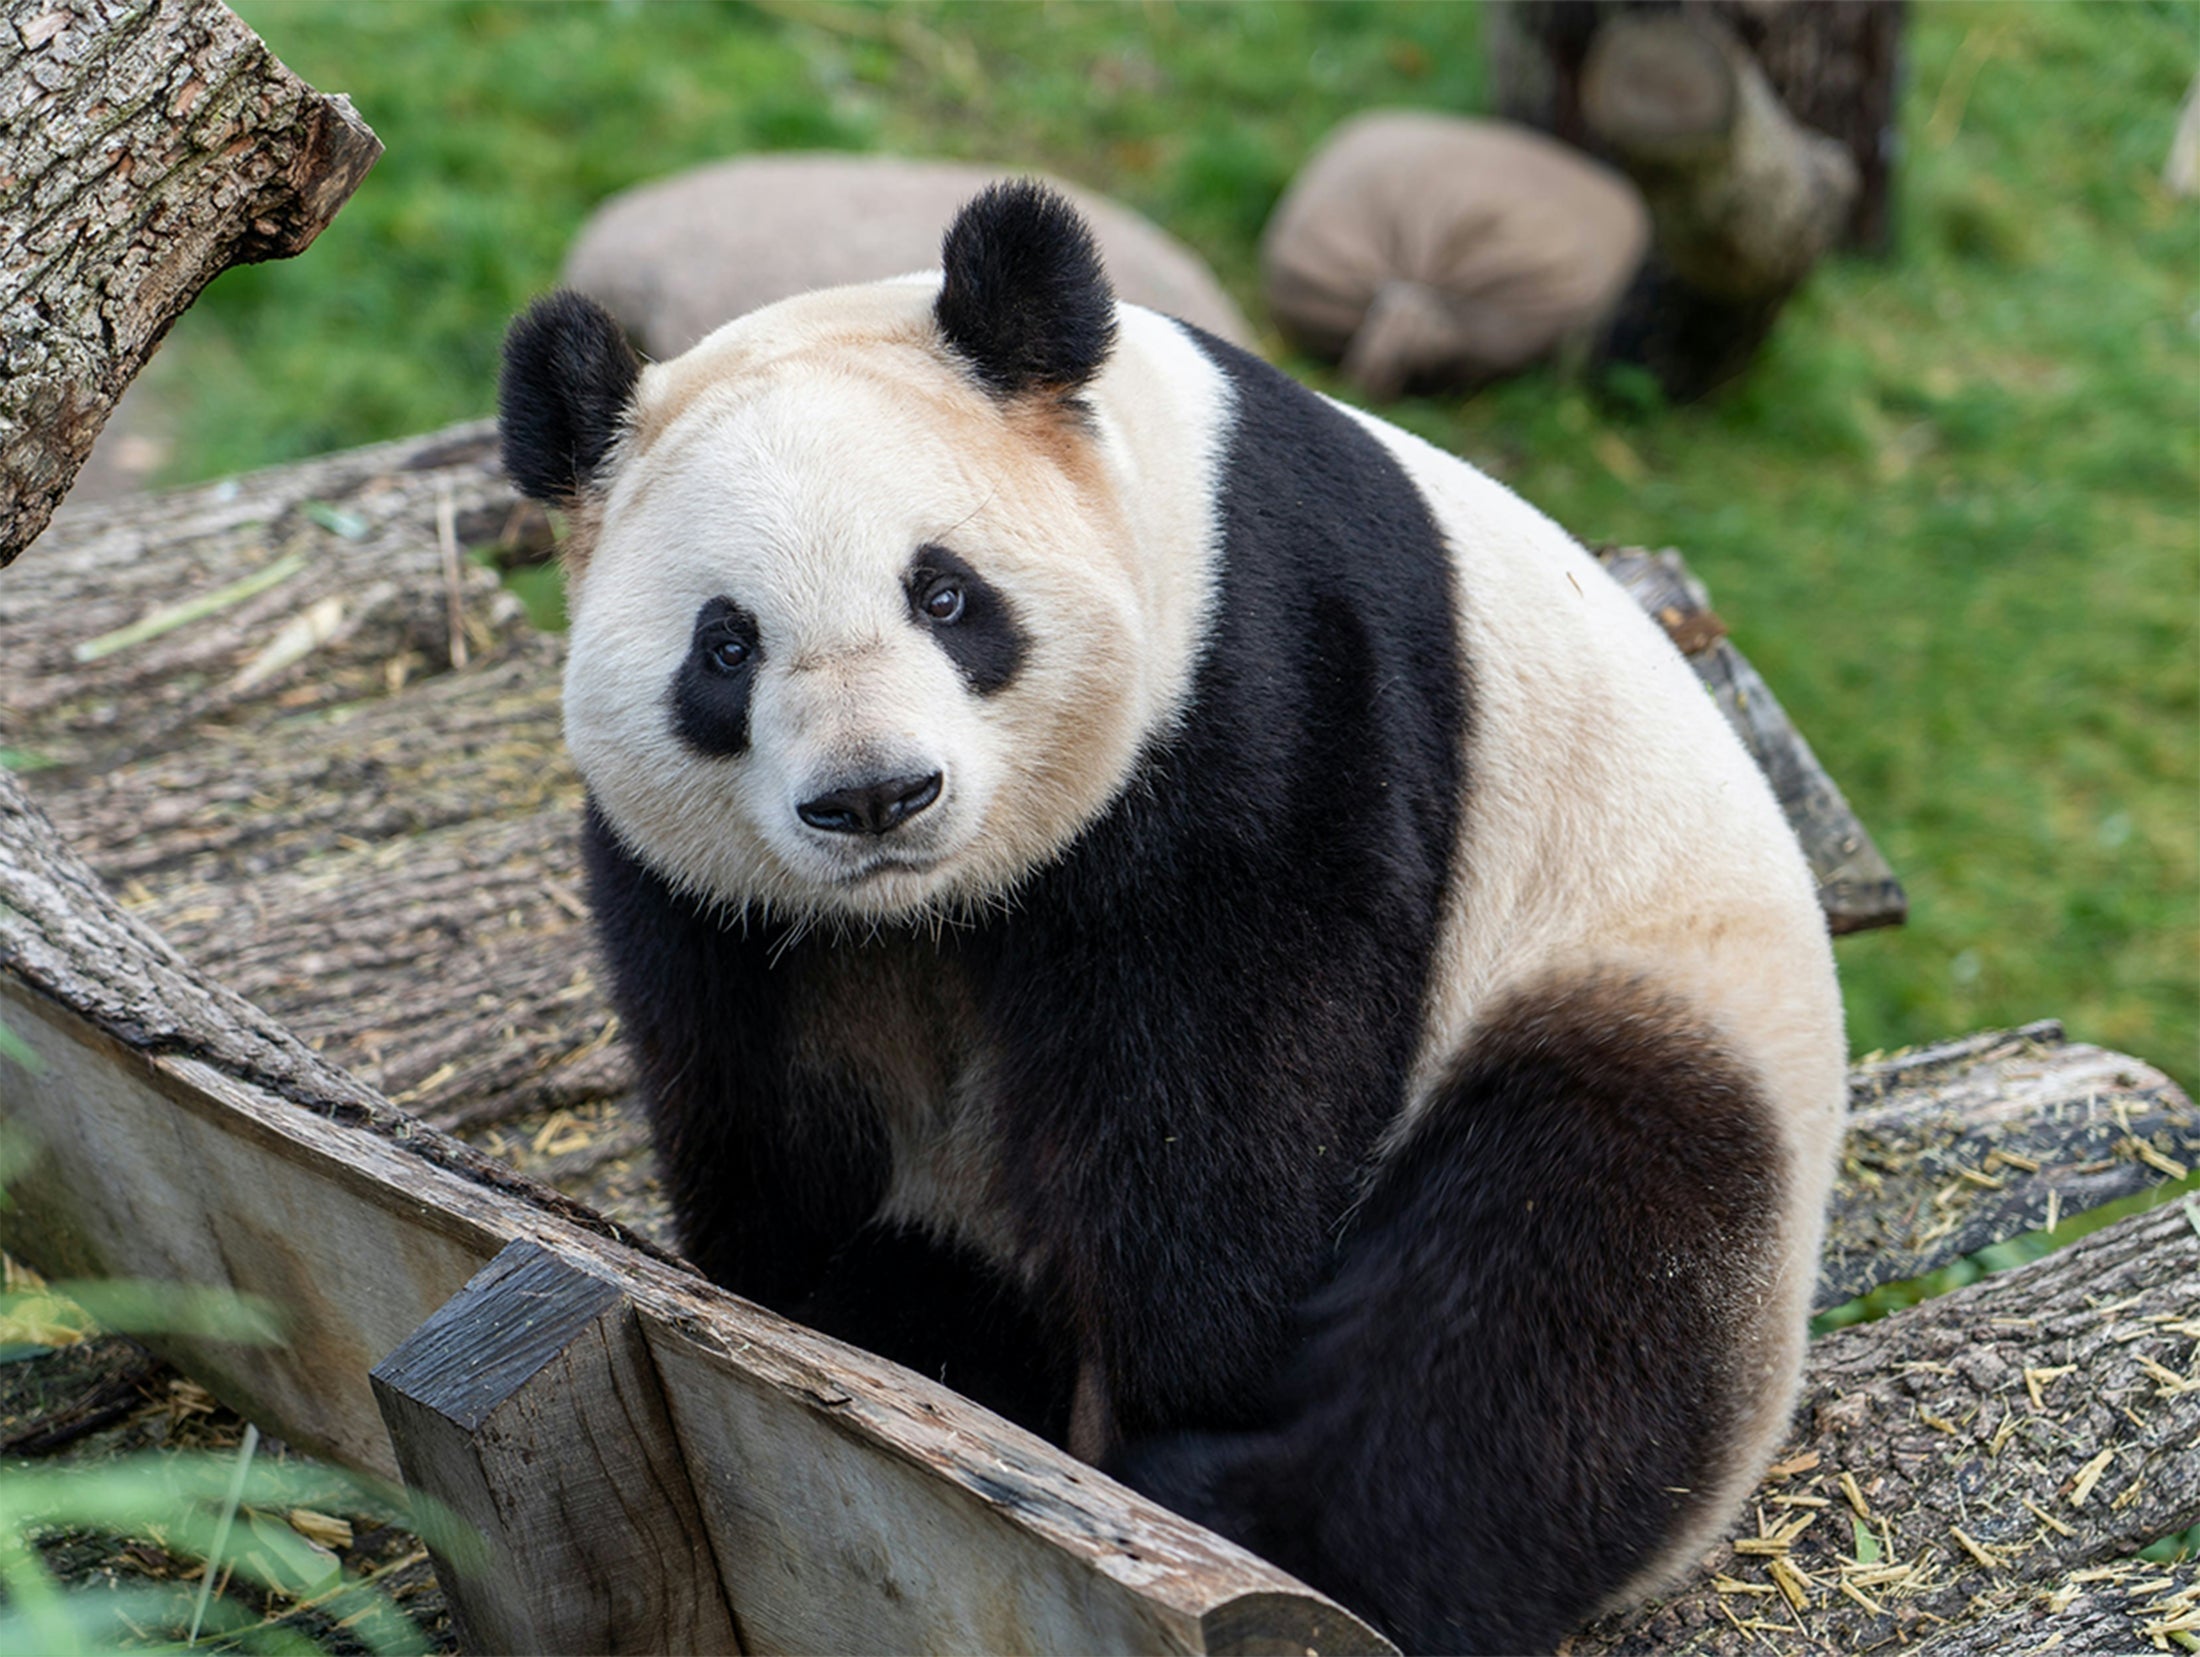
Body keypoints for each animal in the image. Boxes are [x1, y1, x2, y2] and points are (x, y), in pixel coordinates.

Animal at [499, 181, 1845, 1655]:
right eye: (726, 644)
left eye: (946, 594)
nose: (875, 797)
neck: (933, 906)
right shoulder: (718, 903)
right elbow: (765, 1099)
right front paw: (821, 1319)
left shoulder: (1261, 682)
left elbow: (1224, 1090)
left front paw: (1161, 1404)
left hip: (1645, 990)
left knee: (1562, 1276)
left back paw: (1260, 1512)